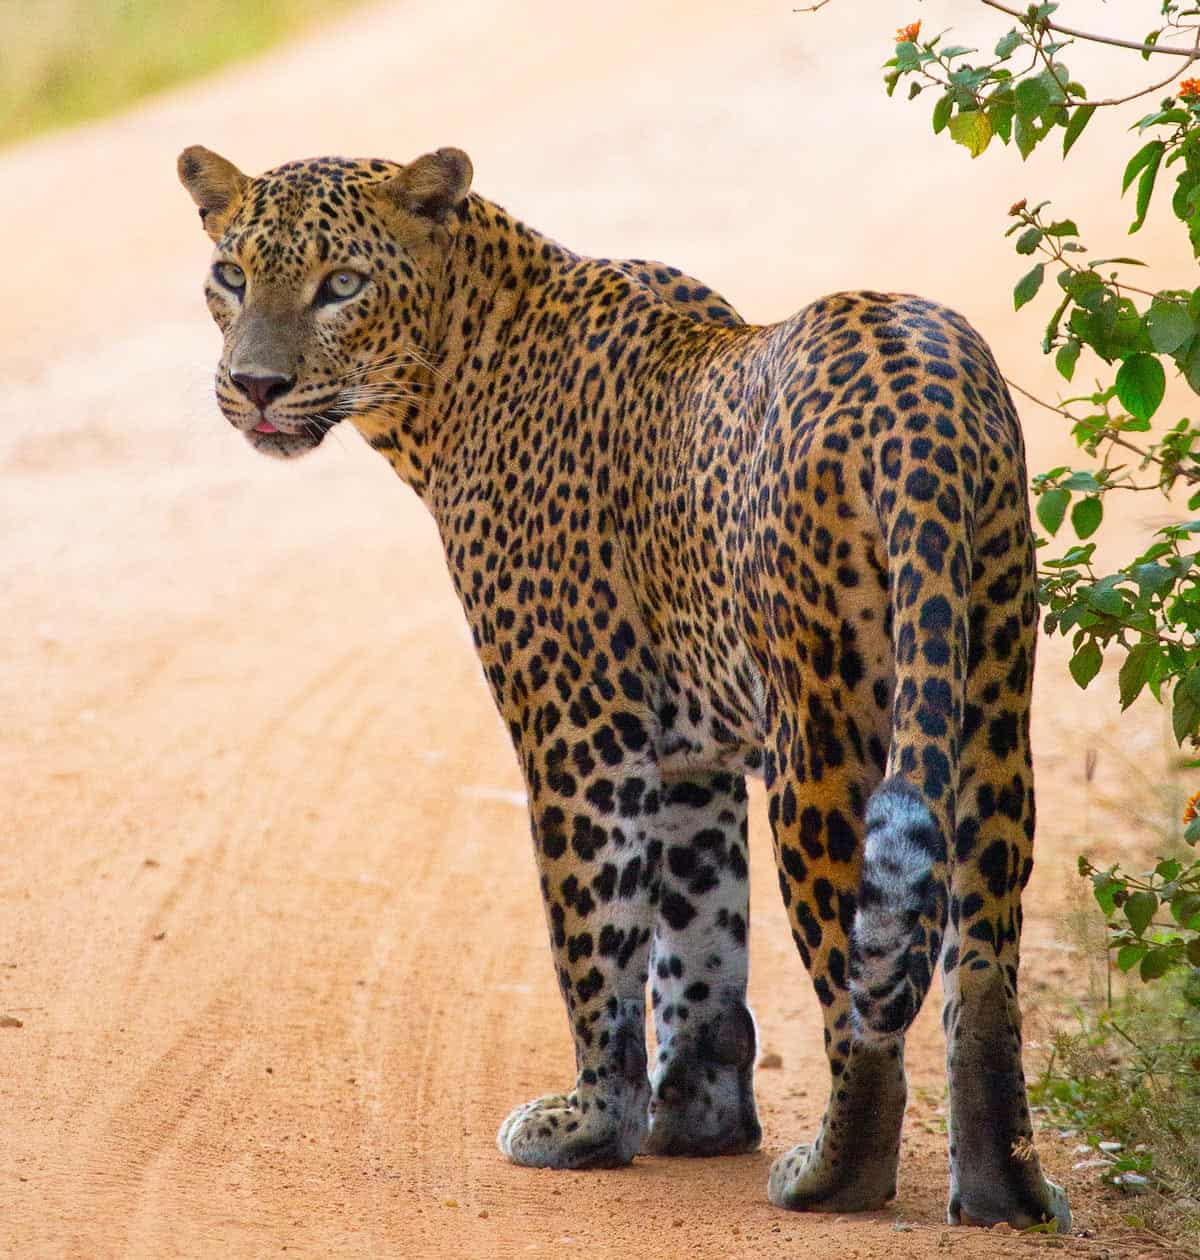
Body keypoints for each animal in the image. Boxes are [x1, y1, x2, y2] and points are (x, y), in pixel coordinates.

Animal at [178, 142, 1070, 1231]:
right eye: (232, 276)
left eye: (340, 285)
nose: (255, 385)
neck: (453, 373)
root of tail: (924, 397)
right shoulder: (688, 750)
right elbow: (700, 936)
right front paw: (697, 1117)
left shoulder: (579, 726)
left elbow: (597, 934)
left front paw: (593, 1123)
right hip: (988, 699)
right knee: (982, 967)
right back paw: (1002, 1192)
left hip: (821, 731)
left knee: (857, 984)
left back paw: (829, 1175)